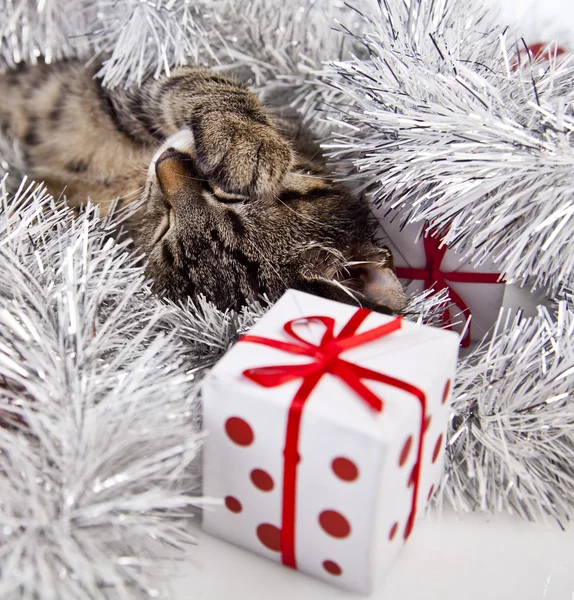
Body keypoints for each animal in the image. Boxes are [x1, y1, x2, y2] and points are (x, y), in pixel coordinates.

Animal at [0, 60, 404, 312]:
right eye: (230, 196)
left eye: (166, 231)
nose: (166, 164)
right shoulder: (131, 86)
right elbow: (203, 83)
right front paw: (242, 137)